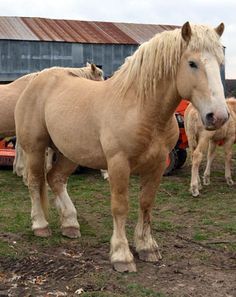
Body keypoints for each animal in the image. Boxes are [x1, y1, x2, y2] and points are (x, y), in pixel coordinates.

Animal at [15, 22, 229, 272]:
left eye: (220, 62)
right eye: (192, 63)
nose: (218, 116)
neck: (139, 108)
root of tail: (36, 80)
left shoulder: (157, 165)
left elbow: (146, 203)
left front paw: (147, 247)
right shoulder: (118, 164)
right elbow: (120, 206)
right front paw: (121, 255)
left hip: (69, 152)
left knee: (55, 179)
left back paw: (70, 224)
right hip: (35, 148)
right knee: (35, 181)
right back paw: (40, 225)